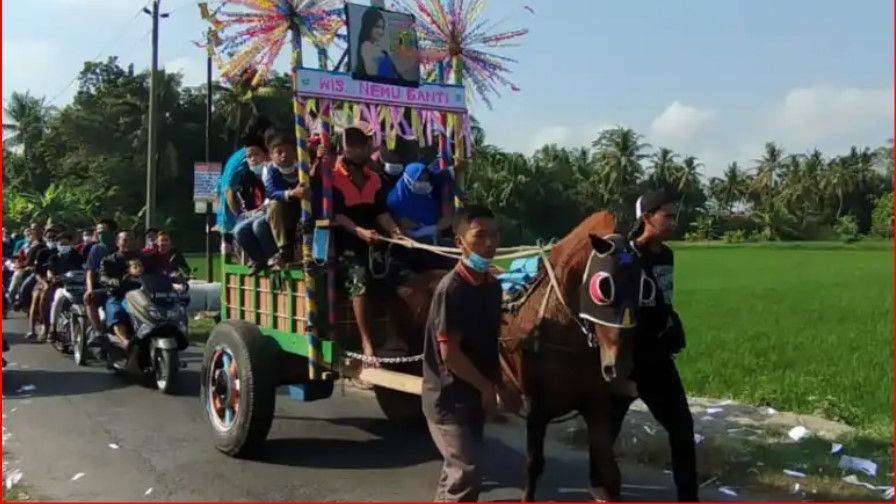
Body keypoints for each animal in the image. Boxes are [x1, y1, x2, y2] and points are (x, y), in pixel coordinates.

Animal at [384, 212, 652, 500]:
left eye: (644, 288)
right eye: (603, 287)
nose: (620, 366)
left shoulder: (596, 405)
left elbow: (607, 473)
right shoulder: (537, 407)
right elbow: (534, 465)